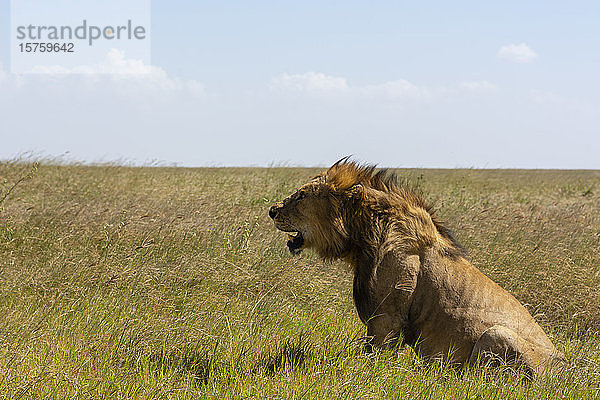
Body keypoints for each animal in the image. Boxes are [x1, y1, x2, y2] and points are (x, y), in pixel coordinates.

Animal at [270, 157, 564, 376]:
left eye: (301, 196)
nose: (272, 210)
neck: (363, 235)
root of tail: (563, 369)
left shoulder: (387, 317)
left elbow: (372, 359)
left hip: (497, 334)